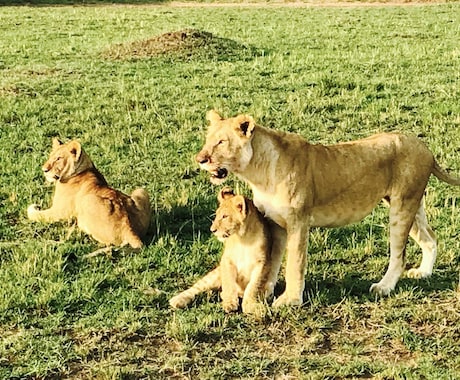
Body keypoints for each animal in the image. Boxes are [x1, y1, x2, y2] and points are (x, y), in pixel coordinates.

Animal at [197, 109, 460, 306]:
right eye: (208, 140)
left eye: (221, 142)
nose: (200, 159)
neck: (257, 172)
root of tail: (424, 147)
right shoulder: (274, 223)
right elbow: (272, 261)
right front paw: (264, 293)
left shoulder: (299, 222)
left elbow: (295, 263)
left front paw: (290, 300)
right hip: (412, 203)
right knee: (430, 237)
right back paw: (424, 272)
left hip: (402, 206)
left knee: (399, 254)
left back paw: (384, 287)